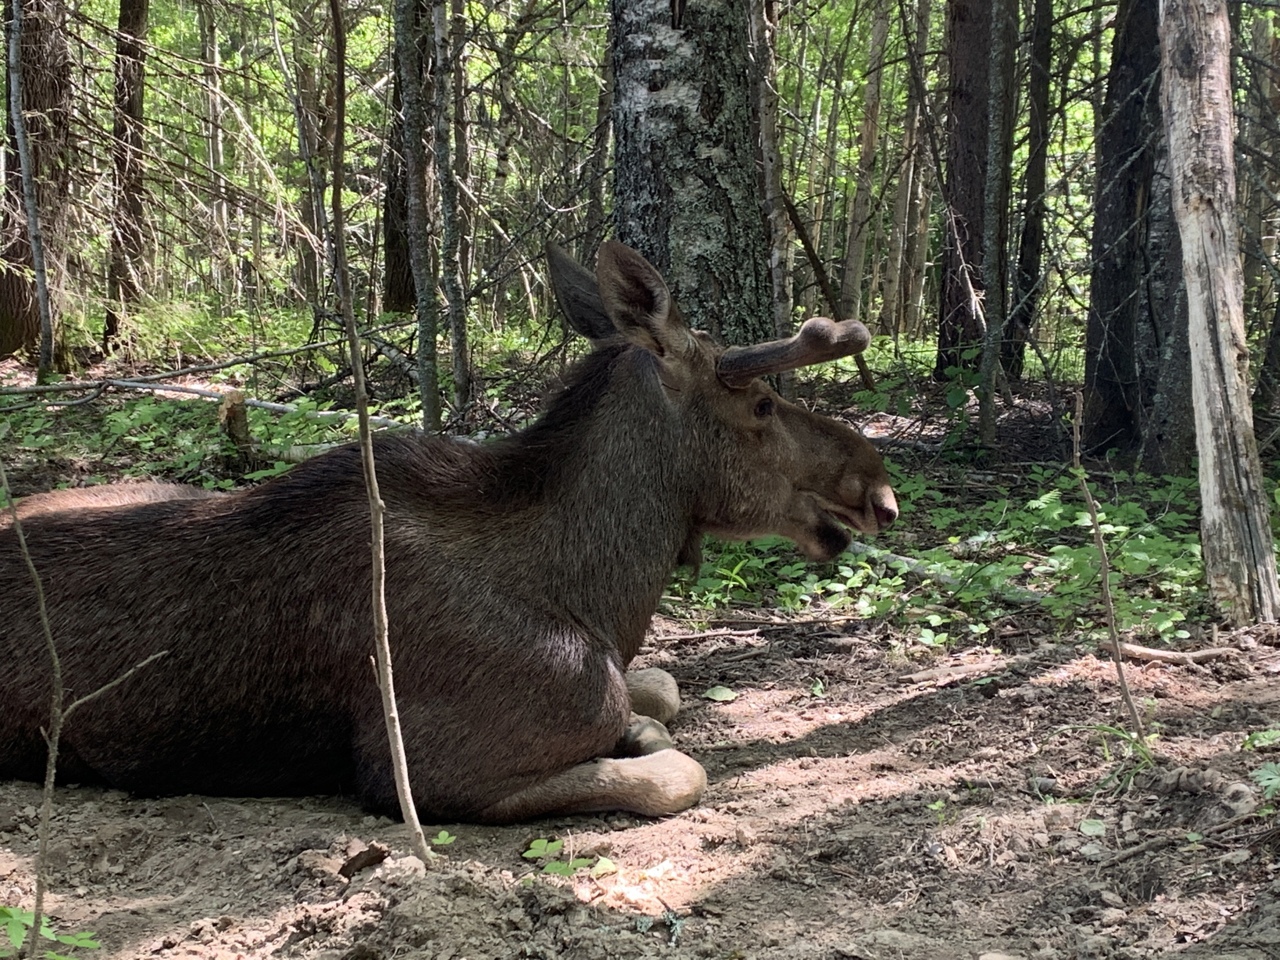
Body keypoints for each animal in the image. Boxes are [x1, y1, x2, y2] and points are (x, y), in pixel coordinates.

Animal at [0, 244, 896, 824]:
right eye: (763, 404)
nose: (878, 489)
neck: (597, 596)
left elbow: (665, 685)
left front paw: (642, 719)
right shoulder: (425, 770)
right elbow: (677, 770)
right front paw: (640, 736)